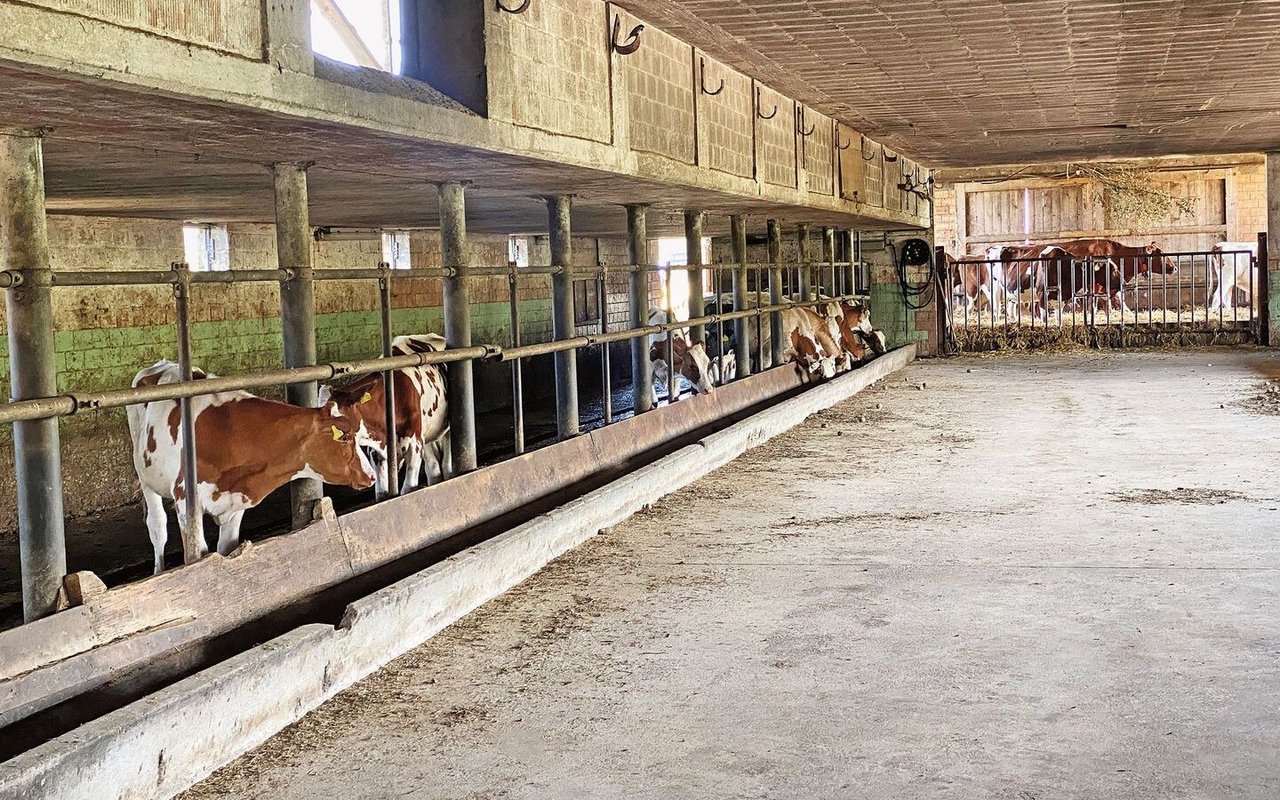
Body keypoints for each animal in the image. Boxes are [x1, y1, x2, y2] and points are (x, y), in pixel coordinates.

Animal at [128, 360, 376, 573]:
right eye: (344, 437)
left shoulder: (237, 503)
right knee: (157, 527)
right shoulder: (185, 503)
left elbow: (226, 551)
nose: (371, 475)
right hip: (145, 475)